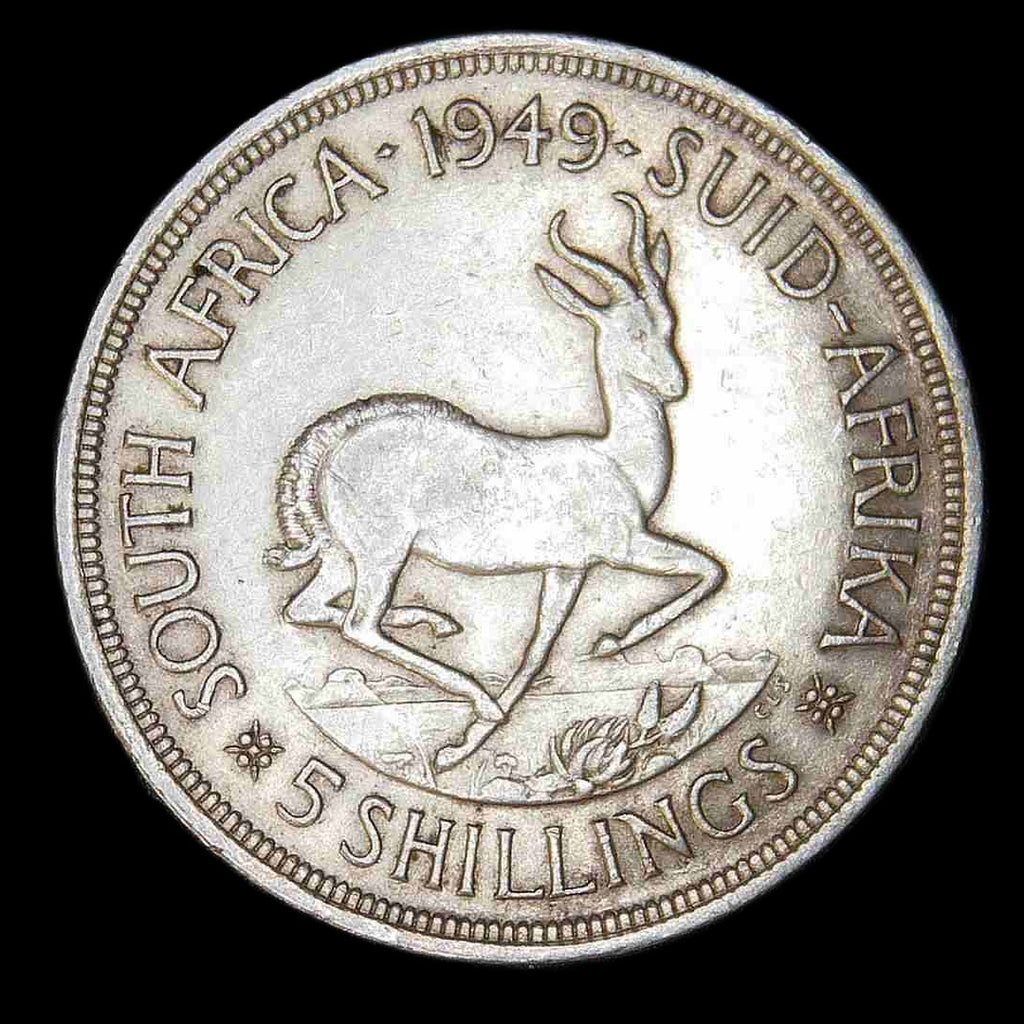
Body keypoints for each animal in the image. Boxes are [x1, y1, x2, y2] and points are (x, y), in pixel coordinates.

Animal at [265, 191, 725, 770]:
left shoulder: (566, 569)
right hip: (382, 555)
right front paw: (616, 642)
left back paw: (434, 626)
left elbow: (536, 653)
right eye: (633, 333)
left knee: (306, 608)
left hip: (343, 558)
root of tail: (328, 447)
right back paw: (474, 689)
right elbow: (710, 569)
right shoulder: (623, 547)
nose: (676, 384)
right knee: (359, 622)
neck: (618, 462)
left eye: (670, 326)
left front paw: (461, 749)